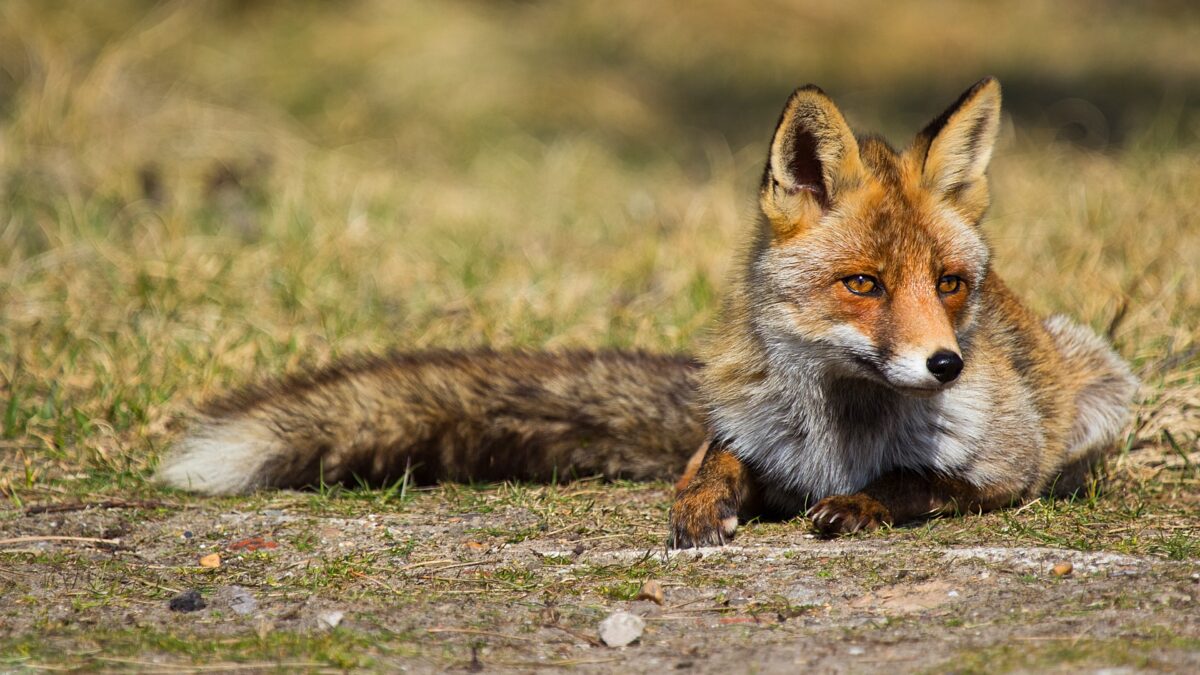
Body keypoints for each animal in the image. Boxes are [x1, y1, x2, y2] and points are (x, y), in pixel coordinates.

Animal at [158, 78, 1138, 549]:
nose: (945, 365)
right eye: (863, 284)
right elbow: (711, 461)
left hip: (1106, 385)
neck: (839, 435)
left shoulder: (1005, 471)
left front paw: (859, 504)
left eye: (949, 284)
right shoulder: (743, 431)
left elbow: (917, 483)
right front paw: (700, 505)